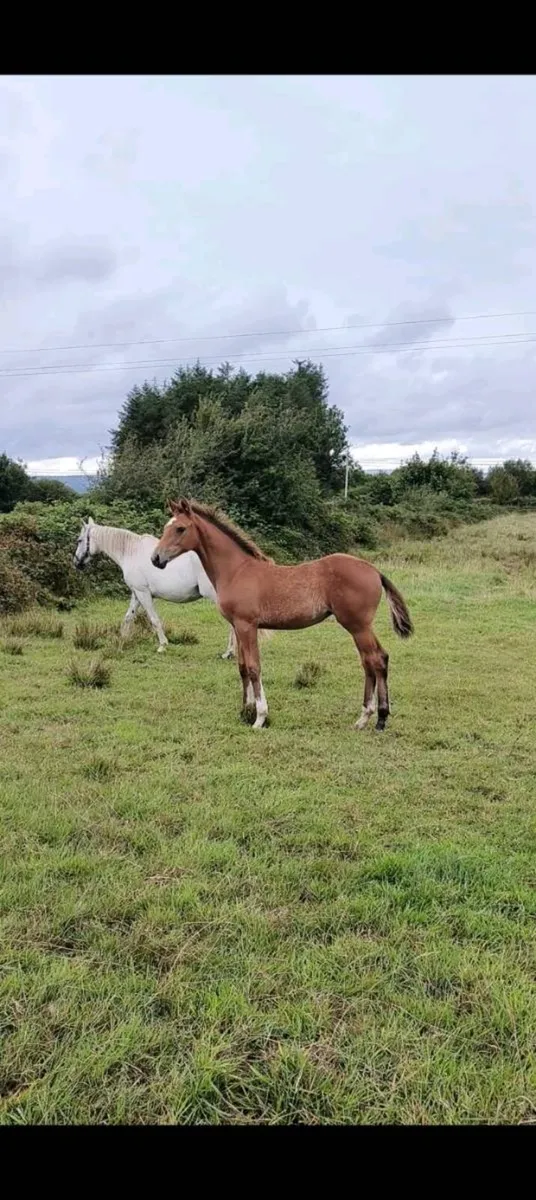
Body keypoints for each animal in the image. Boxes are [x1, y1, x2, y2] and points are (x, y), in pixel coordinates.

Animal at [73, 517, 237, 658]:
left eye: (79, 540)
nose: (76, 562)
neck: (131, 552)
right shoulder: (136, 593)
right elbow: (128, 617)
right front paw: (122, 641)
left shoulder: (143, 593)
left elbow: (154, 619)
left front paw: (162, 645)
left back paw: (228, 652)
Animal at [151, 498, 413, 731]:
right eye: (166, 527)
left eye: (180, 528)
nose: (156, 559)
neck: (237, 571)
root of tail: (374, 570)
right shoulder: (237, 626)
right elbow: (242, 667)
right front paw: (245, 711)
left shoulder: (247, 625)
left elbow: (254, 667)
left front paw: (259, 718)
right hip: (360, 626)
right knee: (374, 660)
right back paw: (370, 719)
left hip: (357, 625)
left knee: (374, 660)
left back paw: (375, 719)